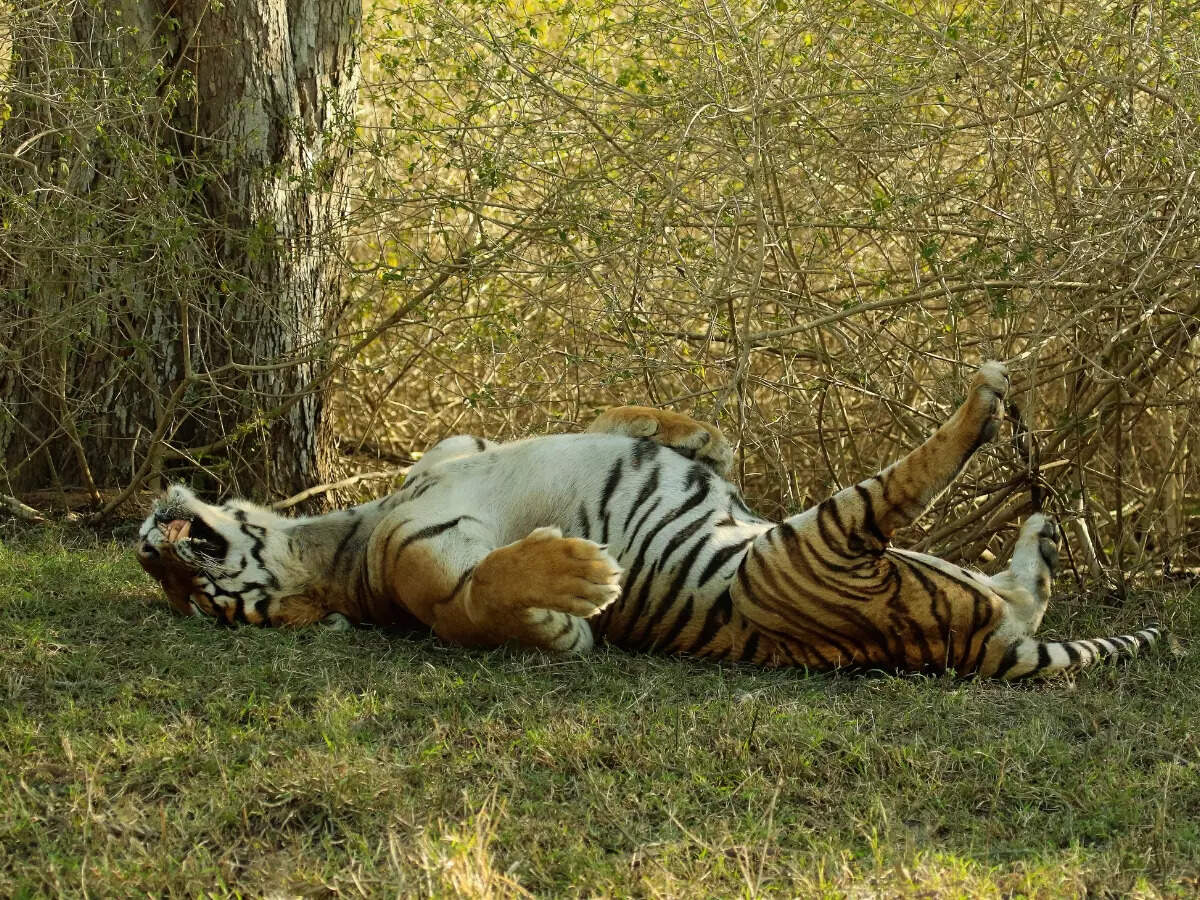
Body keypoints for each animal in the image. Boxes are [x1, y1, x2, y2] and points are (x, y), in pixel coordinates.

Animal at [137, 361, 1160, 679]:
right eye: (205, 608)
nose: (150, 550)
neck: (346, 531)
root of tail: (973, 648)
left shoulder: (459, 442)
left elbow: (621, 420)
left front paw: (691, 434)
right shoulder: (428, 584)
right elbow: (480, 597)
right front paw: (578, 587)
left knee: (1028, 586)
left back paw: (1040, 528)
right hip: (818, 545)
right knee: (906, 484)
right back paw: (984, 406)